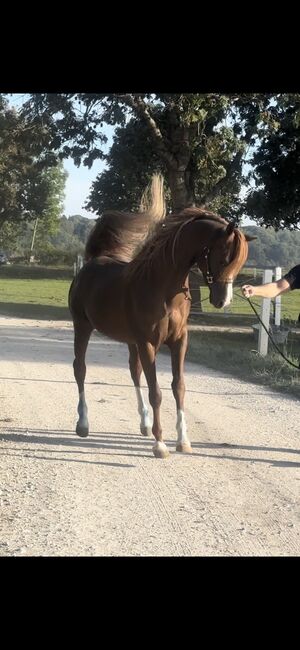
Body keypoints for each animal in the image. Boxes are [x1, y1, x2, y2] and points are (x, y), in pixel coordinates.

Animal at [68, 172, 251, 456]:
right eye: (223, 258)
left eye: (240, 262)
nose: (223, 301)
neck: (162, 290)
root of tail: (93, 261)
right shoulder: (148, 343)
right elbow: (156, 391)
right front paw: (160, 443)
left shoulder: (178, 341)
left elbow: (178, 387)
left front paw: (183, 440)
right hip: (83, 327)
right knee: (81, 369)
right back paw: (83, 424)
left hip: (130, 341)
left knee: (134, 372)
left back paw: (143, 423)